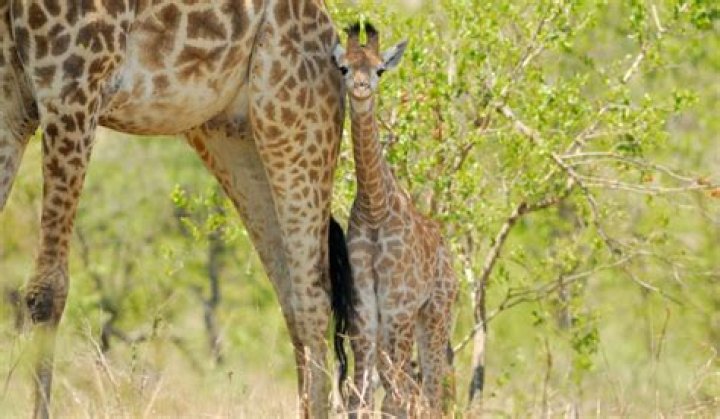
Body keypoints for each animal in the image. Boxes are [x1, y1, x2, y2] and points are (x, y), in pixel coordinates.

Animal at [0, 1, 350, 418]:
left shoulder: (73, 84)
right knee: (290, 294)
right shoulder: (10, 103)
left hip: (296, 123)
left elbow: (47, 290)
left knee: (313, 295)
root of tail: (332, 34)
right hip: (230, 136)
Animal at [331, 23, 459, 417]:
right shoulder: (365, 310)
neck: (376, 207)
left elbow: (398, 396)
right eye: (344, 67)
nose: (360, 89)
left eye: (379, 70)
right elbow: (360, 395)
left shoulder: (398, 307)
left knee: (430, 391)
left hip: (435, 314)